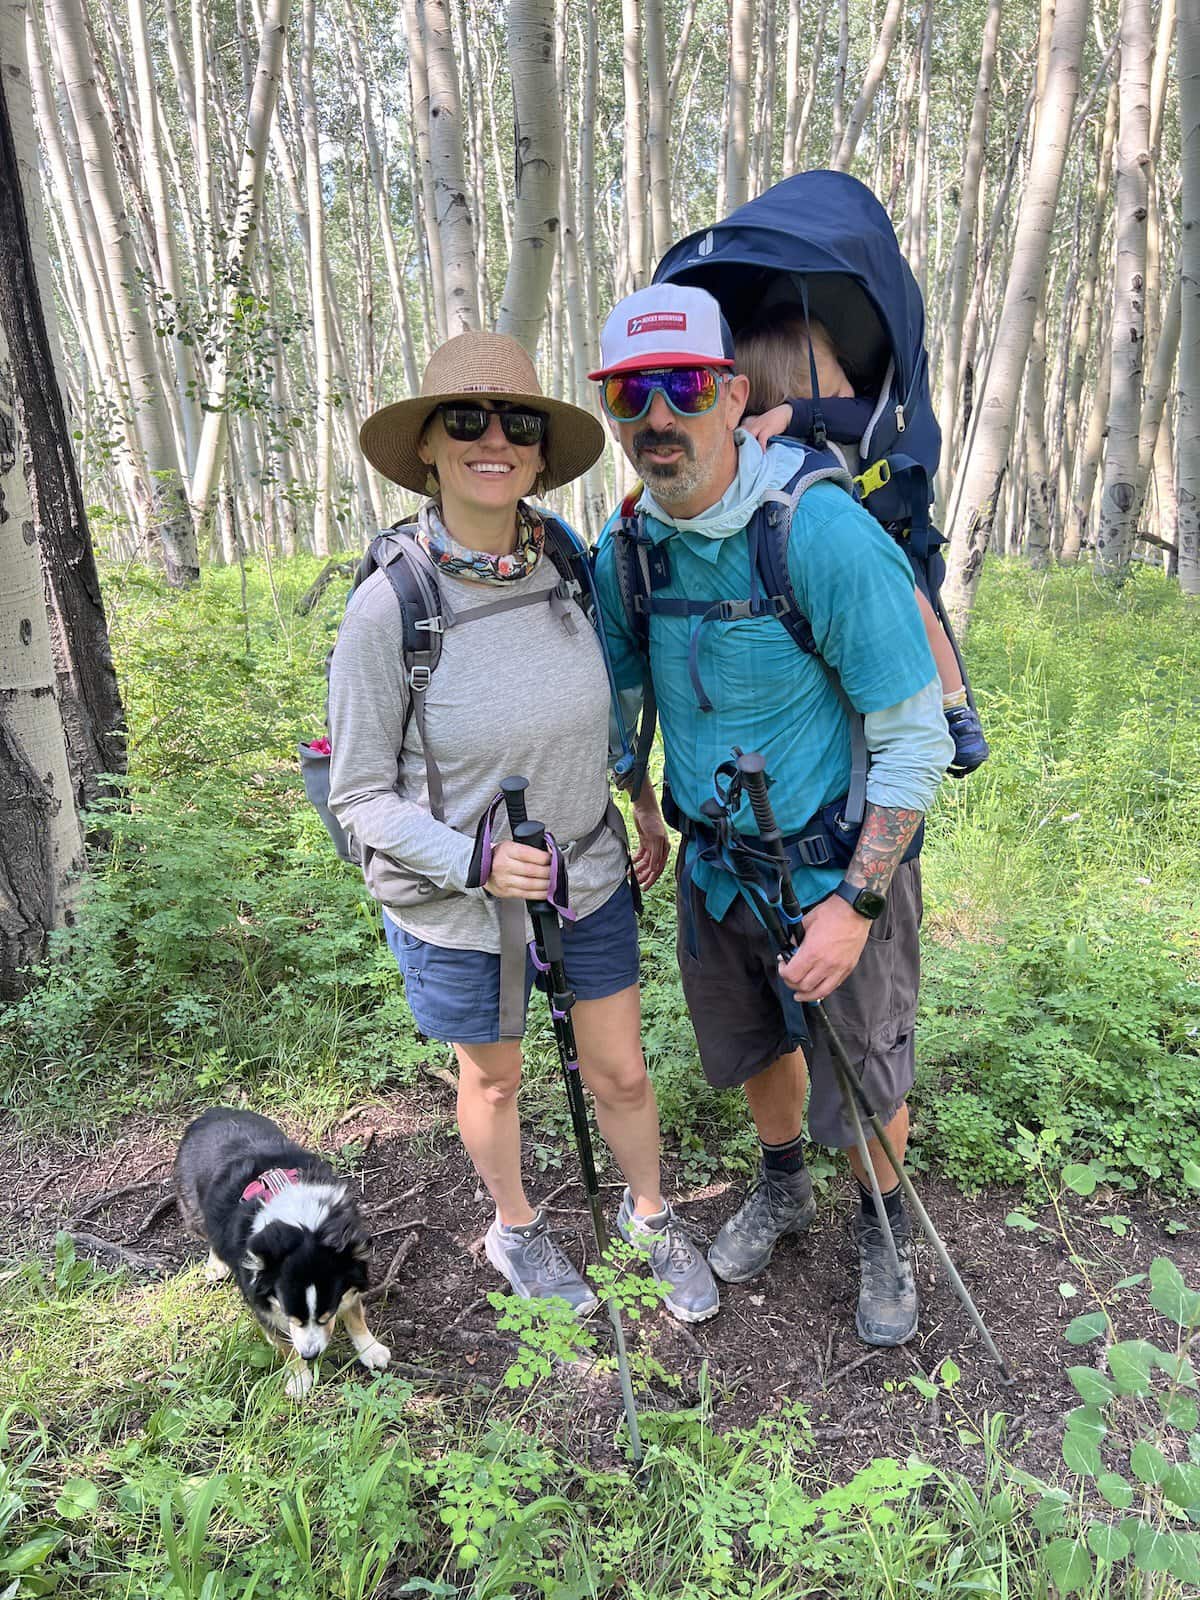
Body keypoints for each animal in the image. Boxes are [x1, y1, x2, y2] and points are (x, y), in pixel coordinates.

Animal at [176, 1107, 390, 1395]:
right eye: (293, 1318)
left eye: (326, 1316)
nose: (311, 1355)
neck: (300, 1225)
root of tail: (210, 1113)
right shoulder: (262, 1302)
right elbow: (285, 1344)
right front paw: (298, 1378)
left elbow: (354, 1313)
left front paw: (370, 1349)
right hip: (194, 1212)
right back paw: (216, 1264)